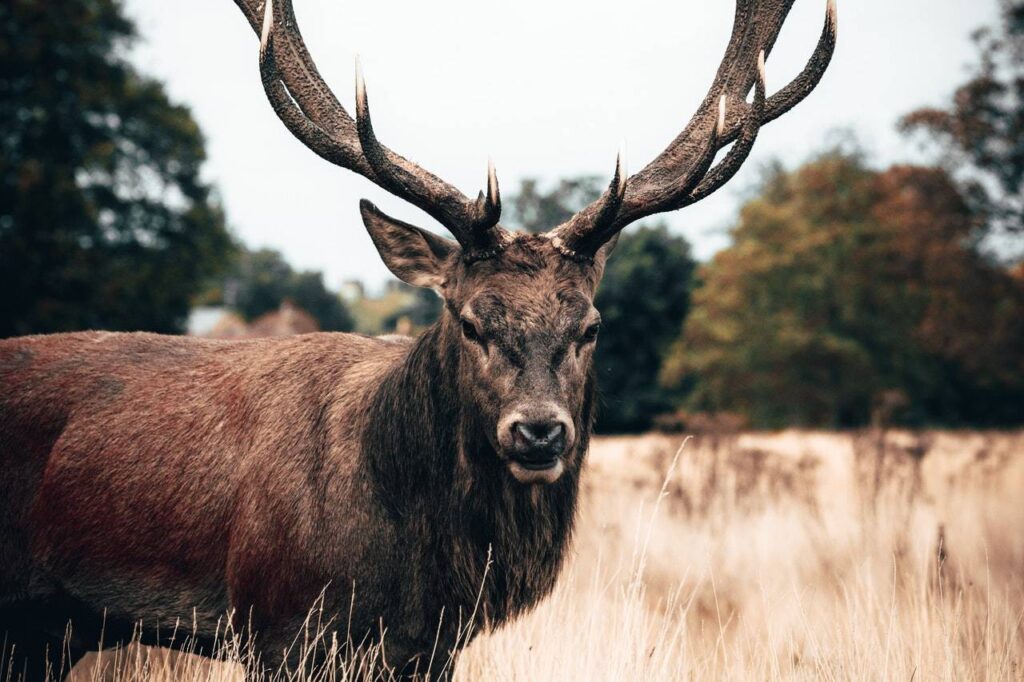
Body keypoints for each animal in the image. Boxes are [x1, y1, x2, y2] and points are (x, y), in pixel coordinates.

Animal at [0, 1, 831, 675]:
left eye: (590, 326)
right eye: (469, 320)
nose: (538, 431)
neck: (416, 571)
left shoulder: (429, 650)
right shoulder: (279, 628)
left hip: (49, 630)